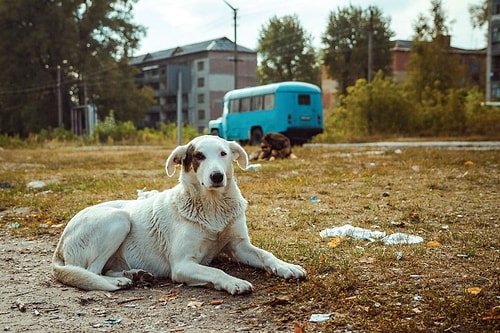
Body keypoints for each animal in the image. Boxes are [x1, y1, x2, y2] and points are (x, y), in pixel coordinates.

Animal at [52, 134, 306, 294]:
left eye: (223, 153)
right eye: (199, 156)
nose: (217, 176)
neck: (212, 206)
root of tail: (60, 243)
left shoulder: (239, 246)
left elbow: (266, 255)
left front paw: (287, 267)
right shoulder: (183, 265)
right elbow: (215, 270)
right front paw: (233, 282)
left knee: (106, 269)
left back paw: (135, 274)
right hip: (118, 219)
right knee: (91, 271)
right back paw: (121, 282)